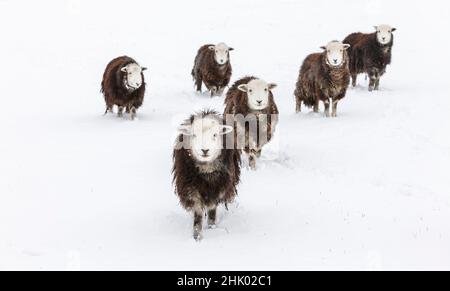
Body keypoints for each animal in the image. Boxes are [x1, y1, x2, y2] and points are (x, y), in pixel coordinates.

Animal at [172, 110, 243, 241]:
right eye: (194, 135)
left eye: (215, 135)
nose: (205, 150)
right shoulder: (190, 187)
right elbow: (198, 211)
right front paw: (197, 236)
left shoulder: (219, 186)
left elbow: (212, 208)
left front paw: (212, 227)